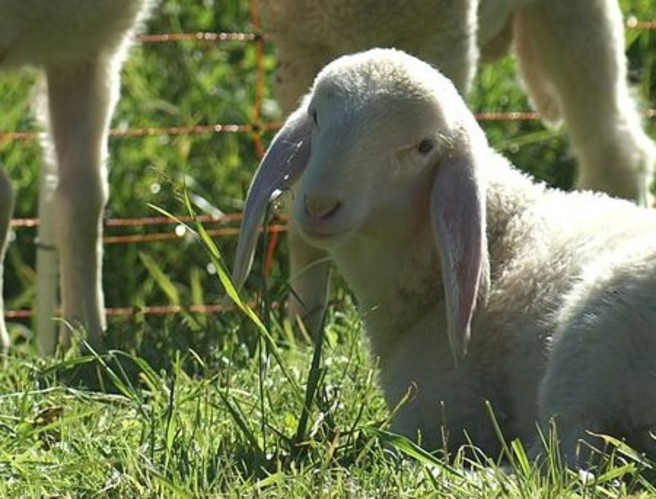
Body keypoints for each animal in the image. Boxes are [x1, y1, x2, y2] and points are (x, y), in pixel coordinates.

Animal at [233, 48, 656, 467]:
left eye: (424, 147)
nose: (320, 206)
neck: (502, 239)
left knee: (562, 457)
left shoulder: (435, 414)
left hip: (590, 337)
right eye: (316, 116)